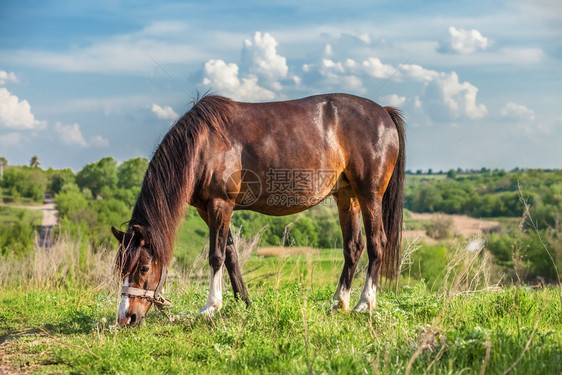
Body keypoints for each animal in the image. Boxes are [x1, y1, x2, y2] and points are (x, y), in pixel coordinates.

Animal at [112, 93, 402, 326]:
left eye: (144, 268)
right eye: (121, 266)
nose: (126, 317)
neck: (204, 144)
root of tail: (383, 113)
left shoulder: (220, 204)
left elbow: (216, 255)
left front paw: (210, 307)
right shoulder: (209, 210)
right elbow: (230, 254)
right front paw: (244, 302)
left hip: (369, 195)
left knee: (377, 243)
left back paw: (364, 304)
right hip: (346, 196)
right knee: (353, 246)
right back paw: (338, 303)